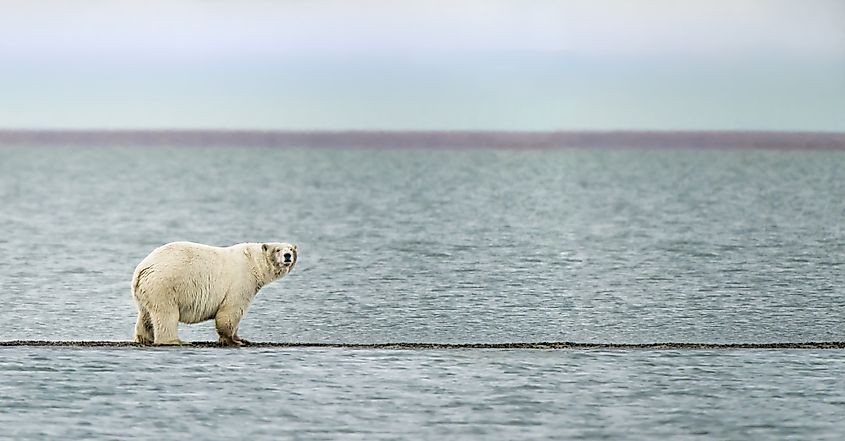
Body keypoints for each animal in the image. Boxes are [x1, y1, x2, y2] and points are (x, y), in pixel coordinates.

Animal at [127, 242, 296, 346]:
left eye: (291, 249)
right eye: (278, 249)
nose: (287, 256)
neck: (253, 262)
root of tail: (142, 269)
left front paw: (242, 339)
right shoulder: (241, 281)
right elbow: (231, 312)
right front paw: (233, 341)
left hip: (146, 291)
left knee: (145, 315)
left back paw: (144, 339)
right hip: (164, 285)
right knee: (166, 314)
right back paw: (175, 341)